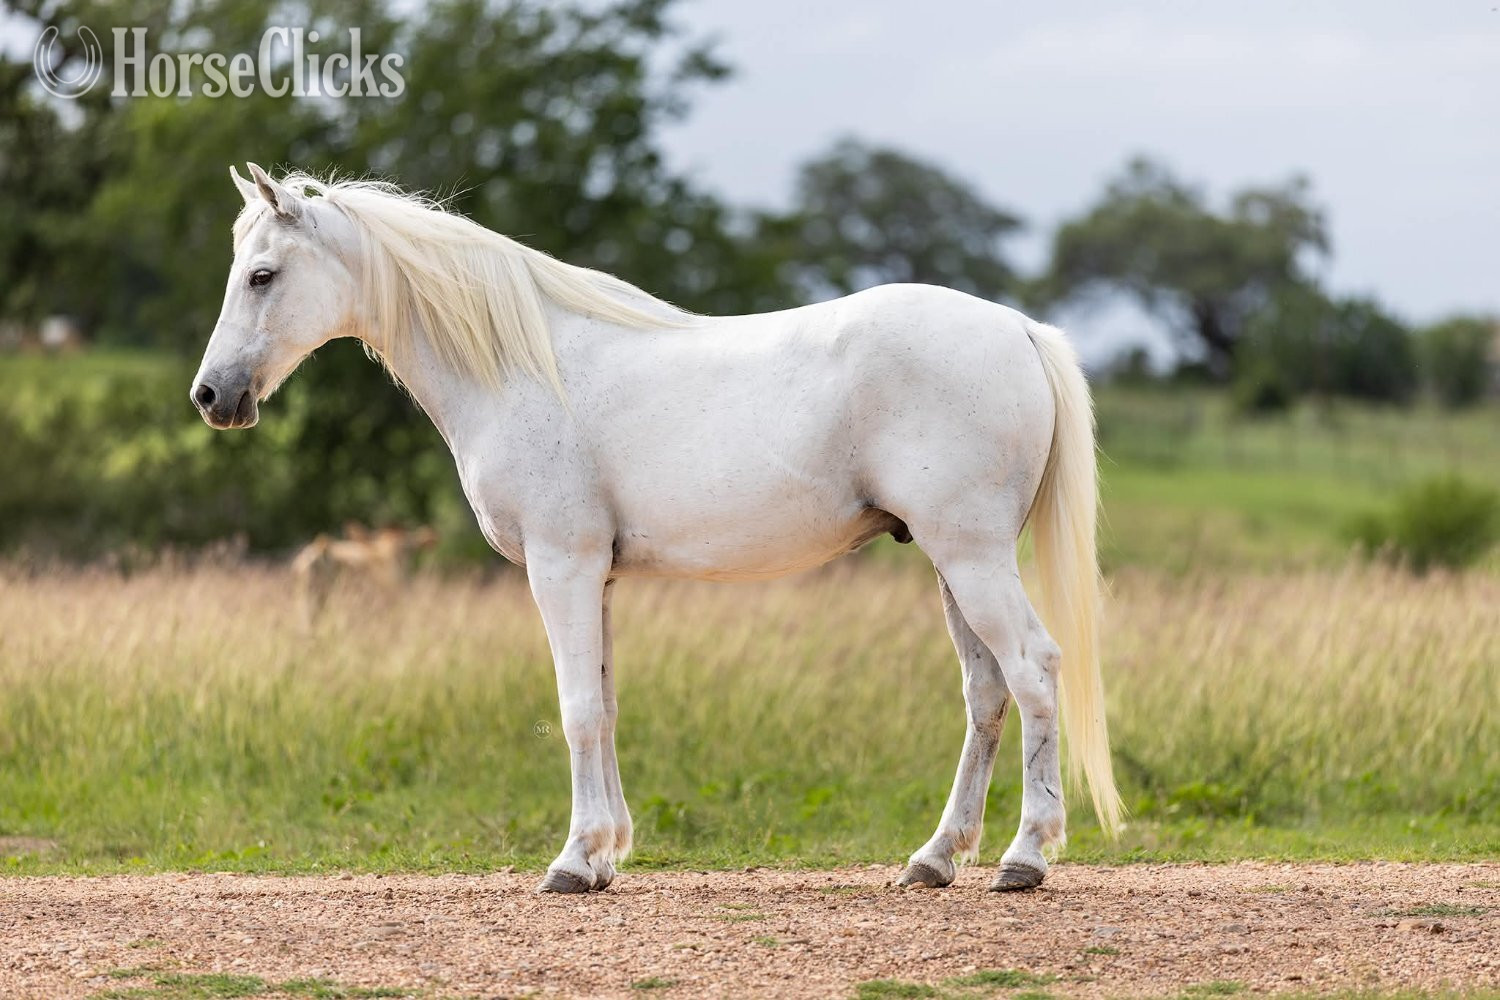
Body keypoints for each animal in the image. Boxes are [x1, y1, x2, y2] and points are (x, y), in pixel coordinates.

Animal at [191, 163, 1123, 894]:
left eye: (263, 276)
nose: (211, 396)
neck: (526, 367)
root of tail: (1019, 329)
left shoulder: (560, 568)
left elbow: (574, 709)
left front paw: (573, 863)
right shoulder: (595, 577)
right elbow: (603, 704)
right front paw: (606, 856)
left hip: (972, 558)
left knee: (1035, 671)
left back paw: (1025, 857)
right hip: (950, 564)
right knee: (987, 693)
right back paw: (935, 858)